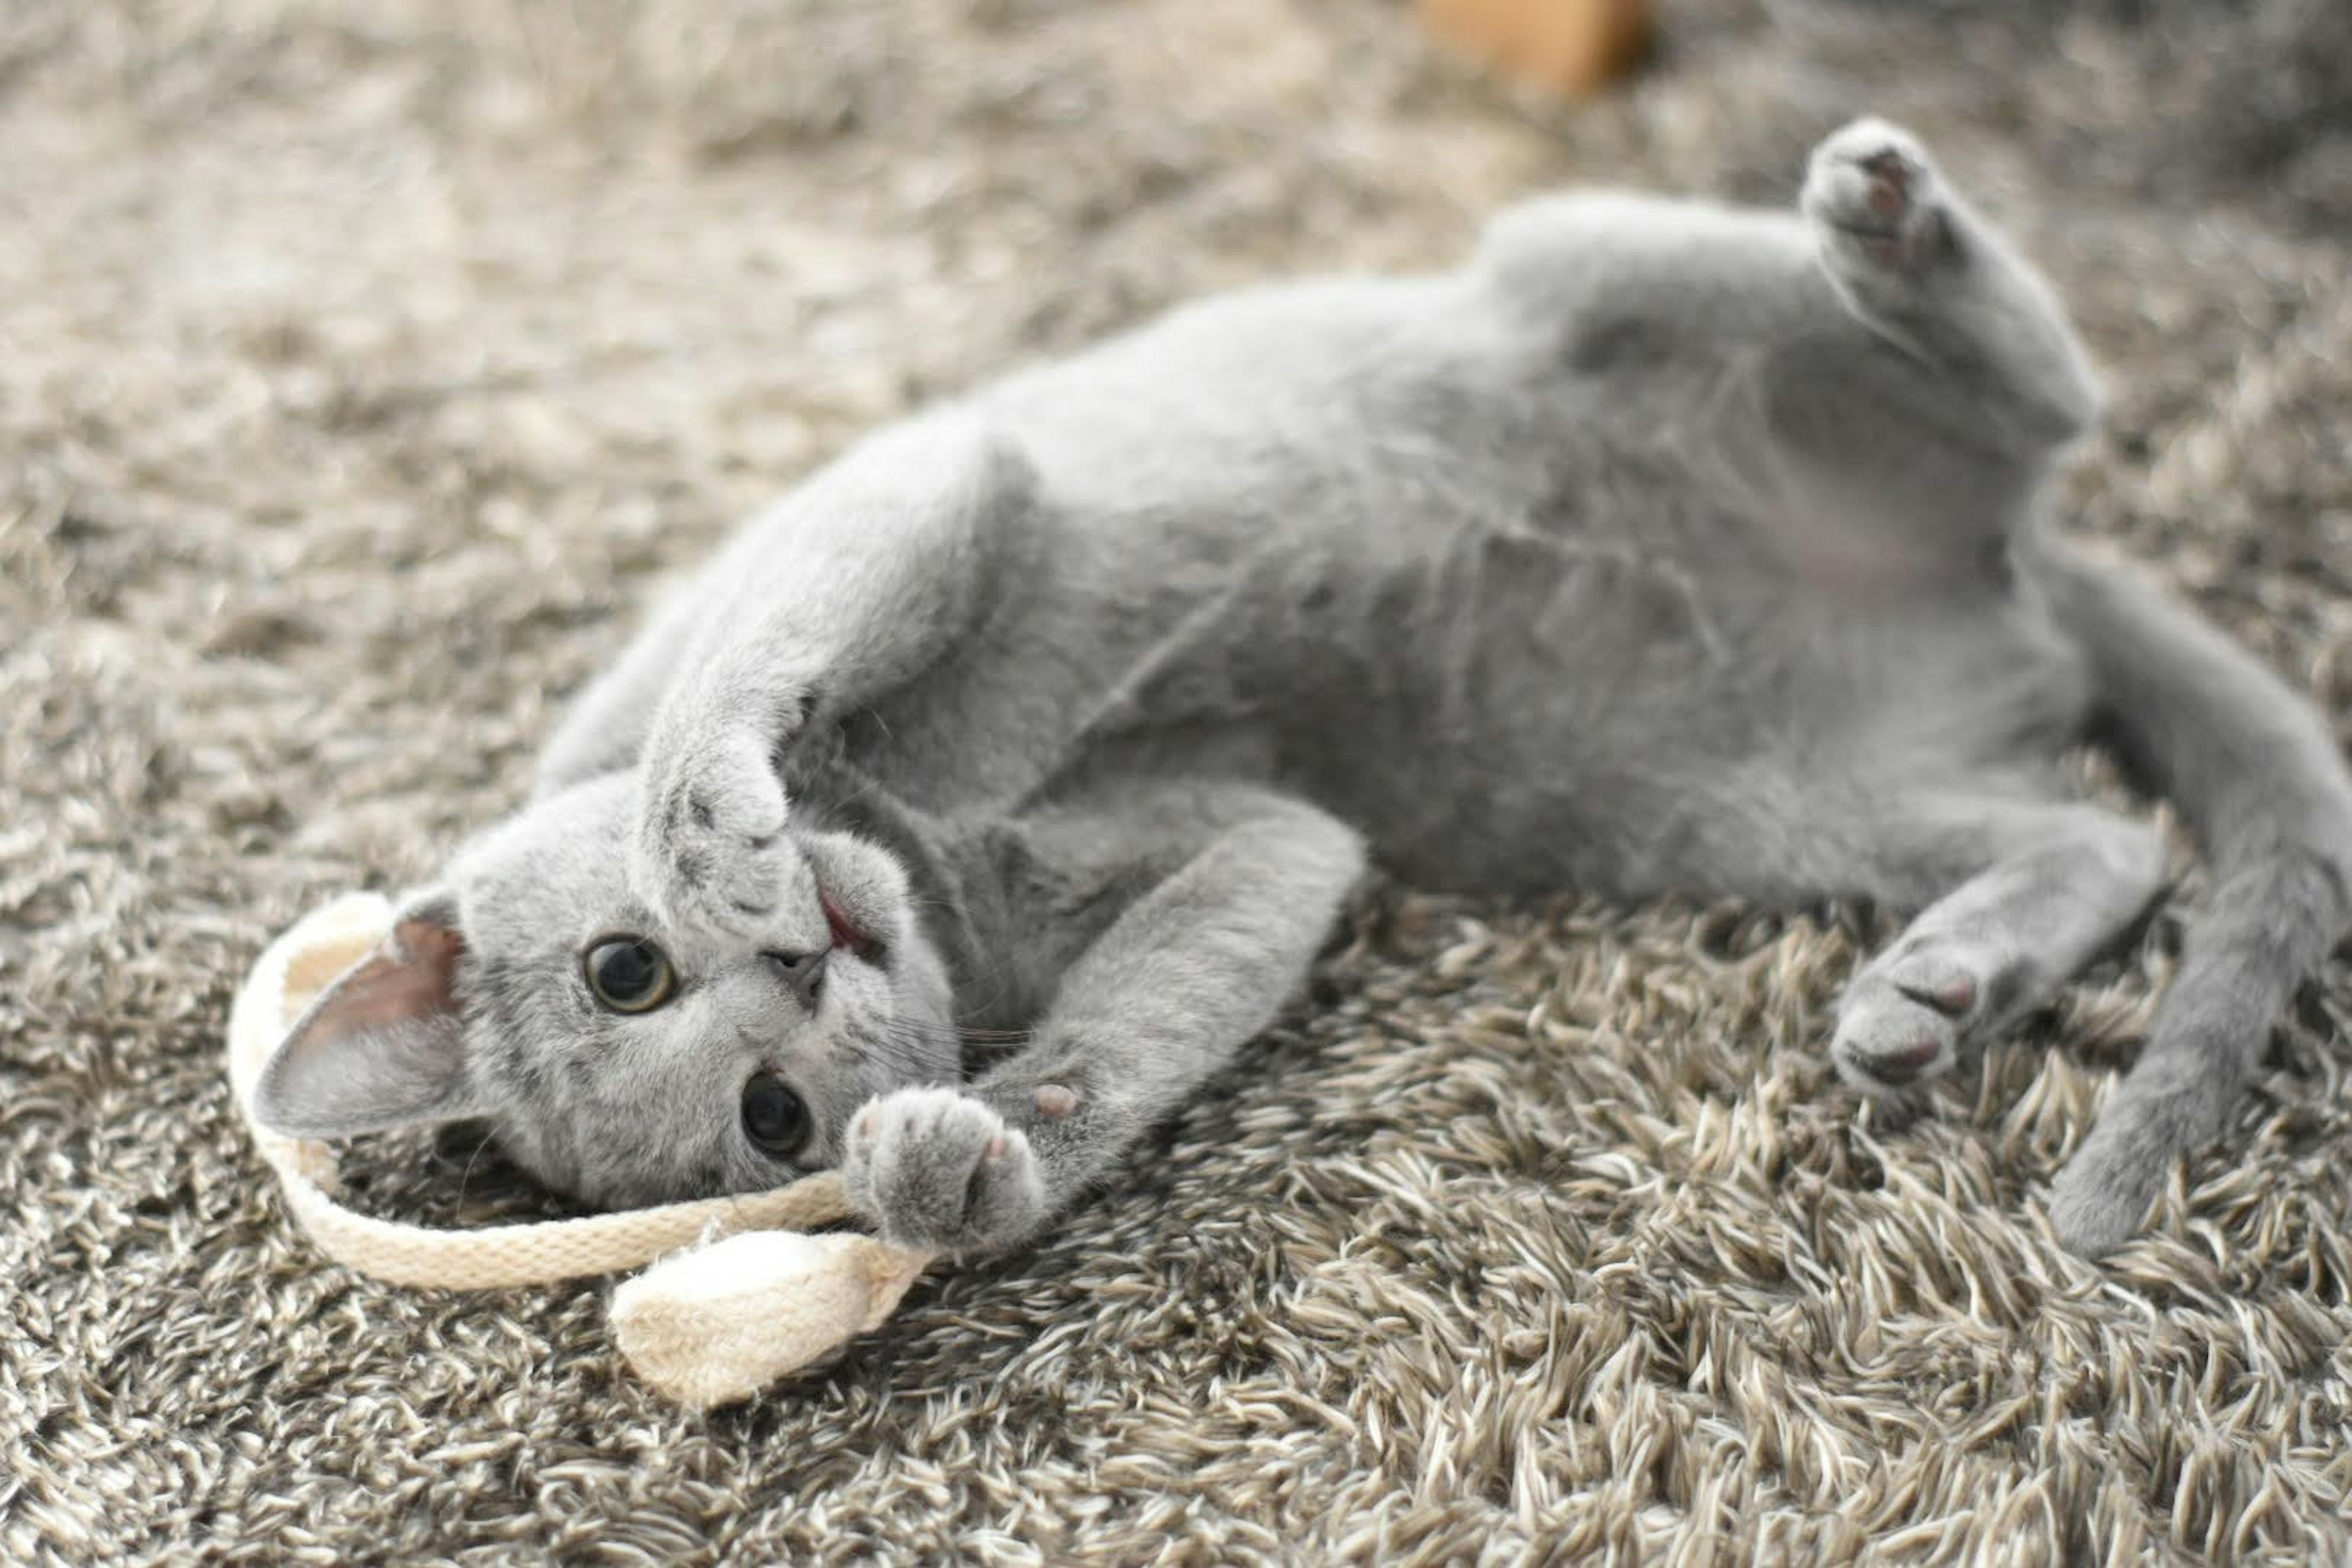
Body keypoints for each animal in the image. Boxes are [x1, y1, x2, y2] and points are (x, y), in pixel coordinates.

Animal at [252, 129, 2352, 1269]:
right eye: (767, 1123)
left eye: (624, 967)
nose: (795, 959)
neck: (918, 830)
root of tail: (2002, 566)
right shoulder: (1268, 839)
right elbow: (1132, 1021)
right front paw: (962, 1166)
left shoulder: (929, 487)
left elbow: (738, 679)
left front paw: (716, 820)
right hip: (1717, 801)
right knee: (2101, 834)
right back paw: (1933, 993)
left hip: (1587, 267)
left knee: (2051, 384)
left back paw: (1892, 221)